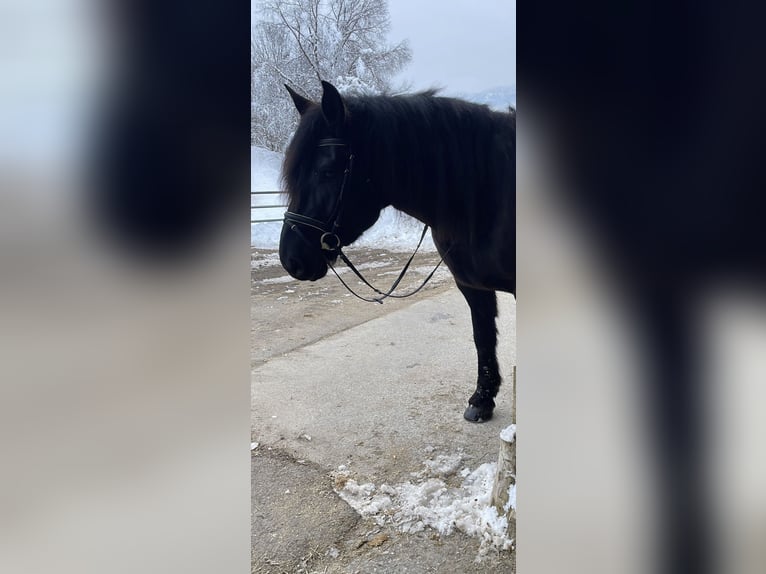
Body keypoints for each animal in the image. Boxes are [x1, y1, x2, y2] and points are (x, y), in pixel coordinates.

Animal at [278, 80, 515, 422]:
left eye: (327, 171)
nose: (291, 259)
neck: (488, 193)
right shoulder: (473, 287)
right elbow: (482, 337)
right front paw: (482, 400)